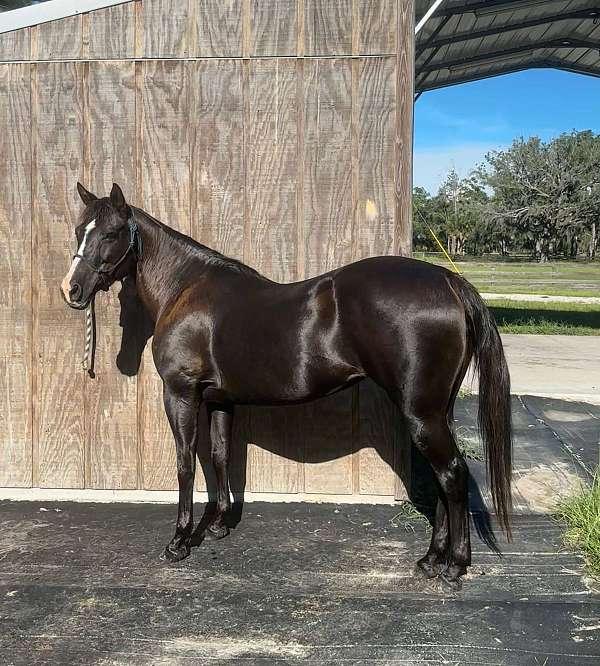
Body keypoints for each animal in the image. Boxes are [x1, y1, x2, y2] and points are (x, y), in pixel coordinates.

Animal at [61, 182, 512, 588]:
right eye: (79, 229)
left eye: (110, 233)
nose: (71, 290)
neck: (185, 288)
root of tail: (449, 282)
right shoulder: (221, 400)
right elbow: (221, 456)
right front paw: (219, 525)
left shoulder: (181, 395)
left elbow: (186, 464)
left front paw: (179, 542)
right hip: (436, 412)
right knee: (443, 478)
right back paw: (431, 560)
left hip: (421, 415)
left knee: (451, 474)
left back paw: (454, 566)